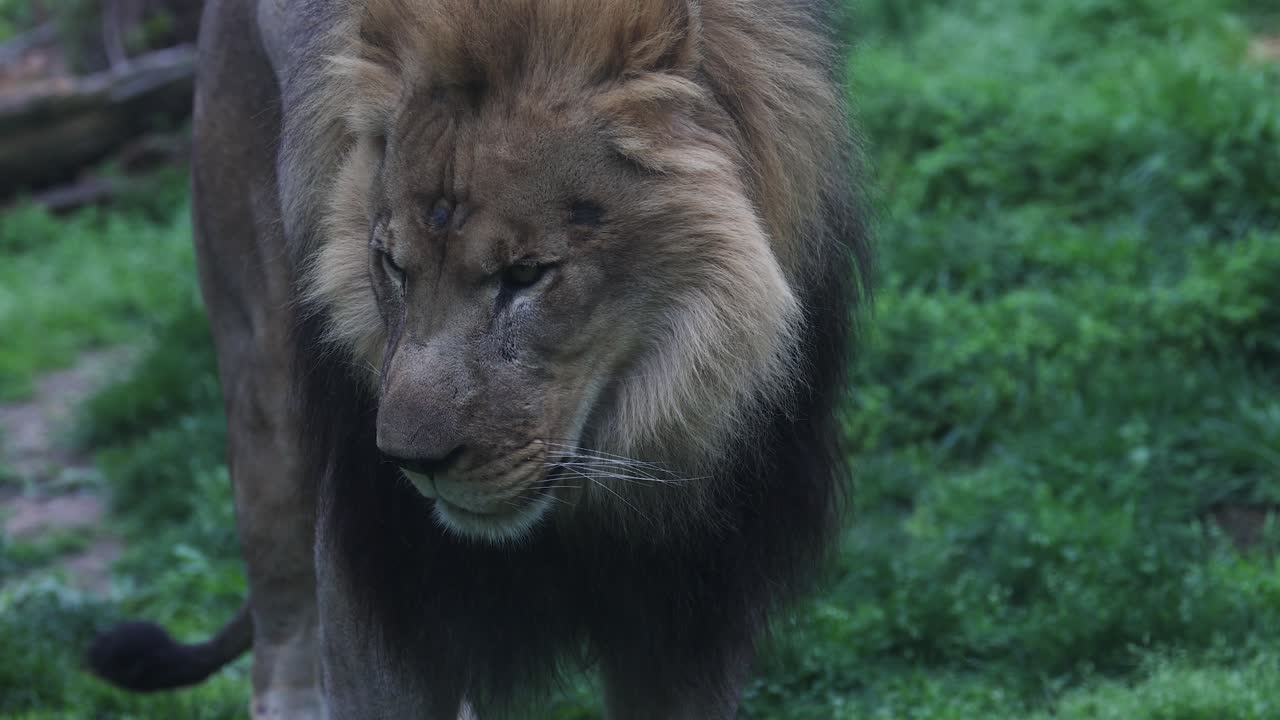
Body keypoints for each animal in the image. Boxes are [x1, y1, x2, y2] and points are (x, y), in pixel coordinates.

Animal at [86, 0, 871, 717]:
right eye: (392, 266)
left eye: (525, 274)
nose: (412, 464)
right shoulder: (378, 593)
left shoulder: (696, 617)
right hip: (264, 405)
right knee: (280, 650)